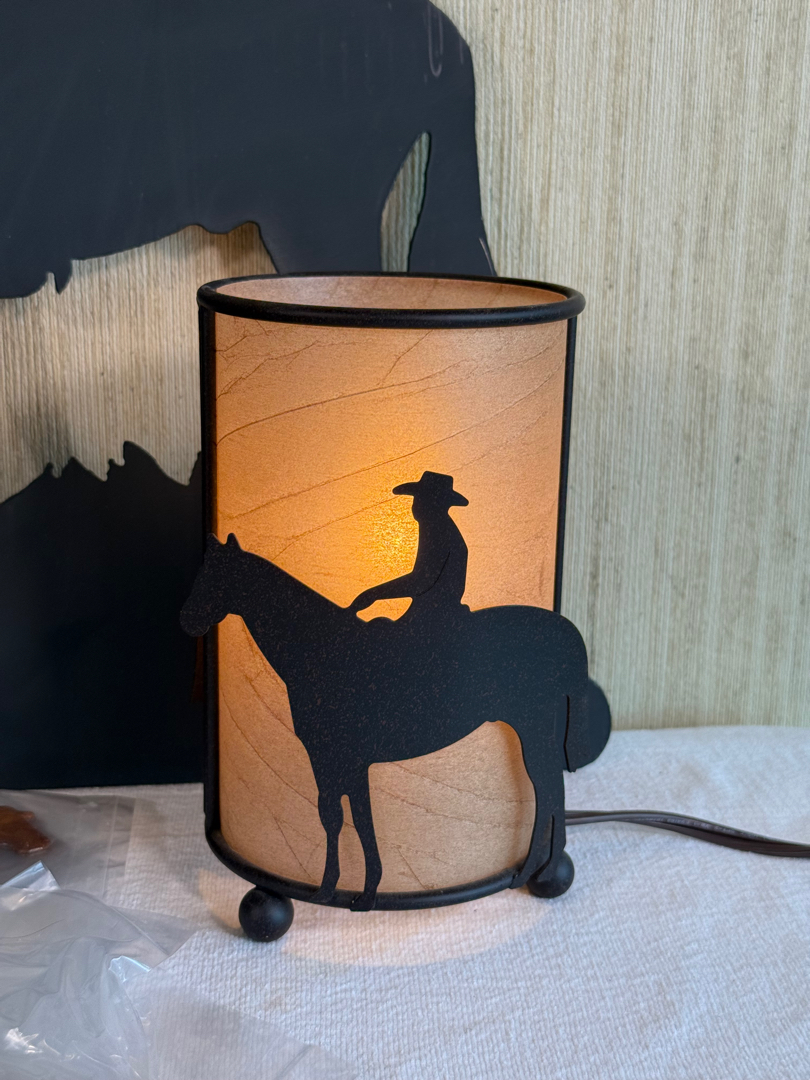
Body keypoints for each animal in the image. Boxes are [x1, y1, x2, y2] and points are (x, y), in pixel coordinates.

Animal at [181, 533, 605, 909]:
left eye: (216, 576)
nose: (187, 620)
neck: (323, 651)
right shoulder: (327, 756)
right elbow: (334, 816)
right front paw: (328, 890)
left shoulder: (348, 758)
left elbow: (359, 818)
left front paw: (366, 894)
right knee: (549, 791)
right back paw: (537, 869)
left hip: (534, 730)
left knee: (548, 791)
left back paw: (540, 870)